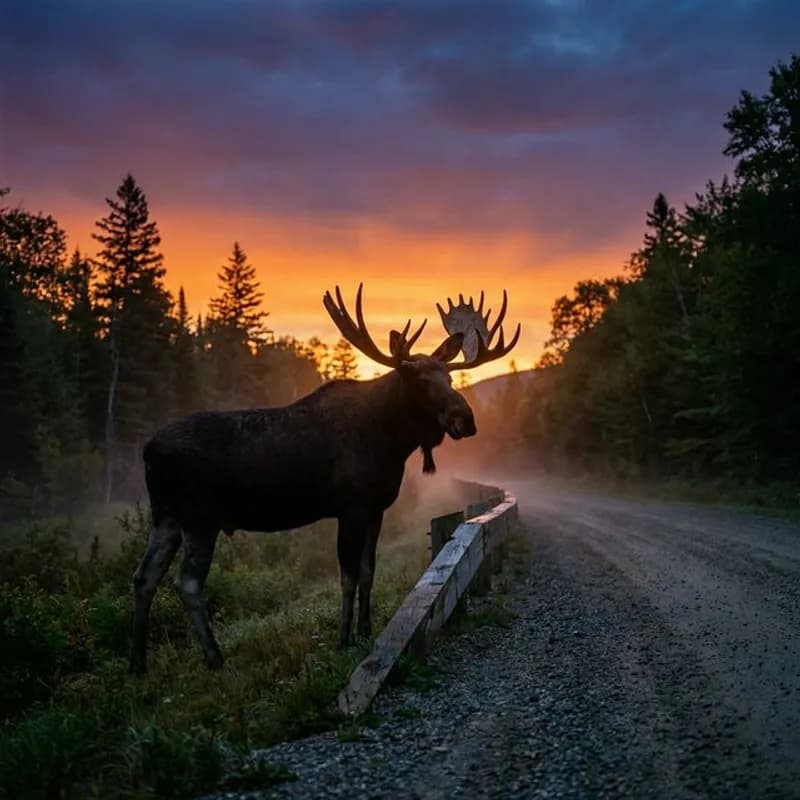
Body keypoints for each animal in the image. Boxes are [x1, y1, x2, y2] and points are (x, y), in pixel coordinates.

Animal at [129, 286, 519, 673]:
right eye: (421, 380)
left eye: (449, 377)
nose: (466, 419)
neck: (391, 441)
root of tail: (149, 450)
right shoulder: (351, 507)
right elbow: (348, 576)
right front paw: (344, 639)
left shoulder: (376, 509)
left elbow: (368, 571)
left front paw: (365, 630)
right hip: (200, 518)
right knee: (187, 582)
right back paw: (214, 657)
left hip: (166, 516)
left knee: (144, 576)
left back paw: (138, 664)